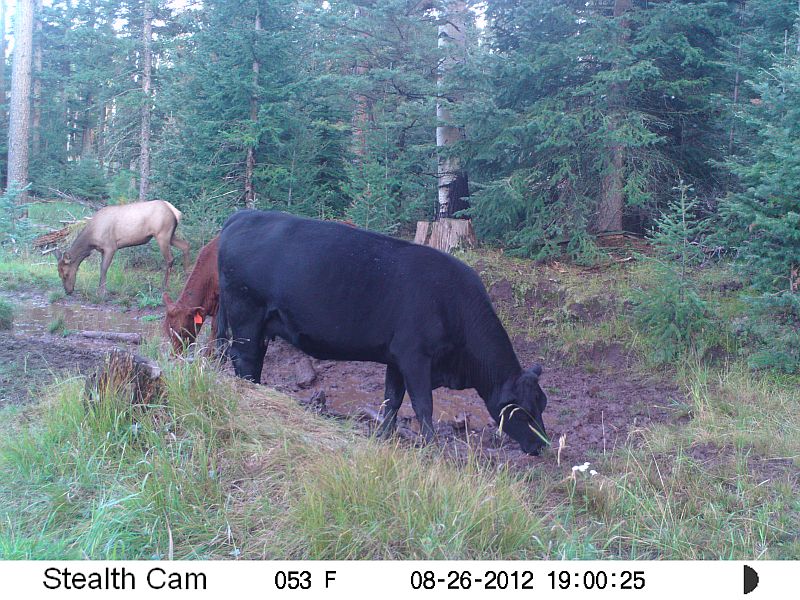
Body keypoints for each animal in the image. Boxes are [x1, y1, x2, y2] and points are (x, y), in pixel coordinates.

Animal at [216, 210, 549, 455]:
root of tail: (242, 215)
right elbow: (423, 406)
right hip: (246, 314)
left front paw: (384, 438)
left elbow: (392, 401)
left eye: (543, 405)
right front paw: (432, 450)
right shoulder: (415, 357)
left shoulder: (396, 359)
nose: (542, 446)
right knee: (244, 359)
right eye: (524, 412)